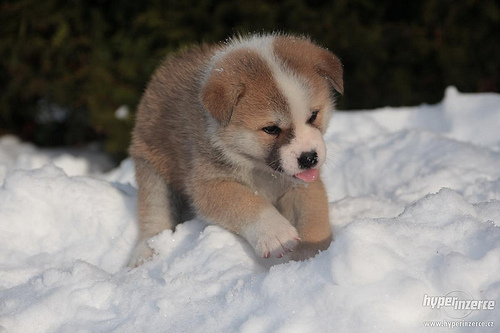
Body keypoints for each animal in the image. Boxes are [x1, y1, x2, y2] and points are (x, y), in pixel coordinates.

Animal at [128, 33, 344, 266]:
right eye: (271, 129)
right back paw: (145, 253)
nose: (309, 158)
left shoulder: (301, 184)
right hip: (154, 172)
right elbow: (246, 201)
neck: (260, 170)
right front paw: (276, 234)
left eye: (313, 115)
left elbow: (313, 215)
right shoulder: (209, 184)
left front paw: (312, 256)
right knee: (154, 214)